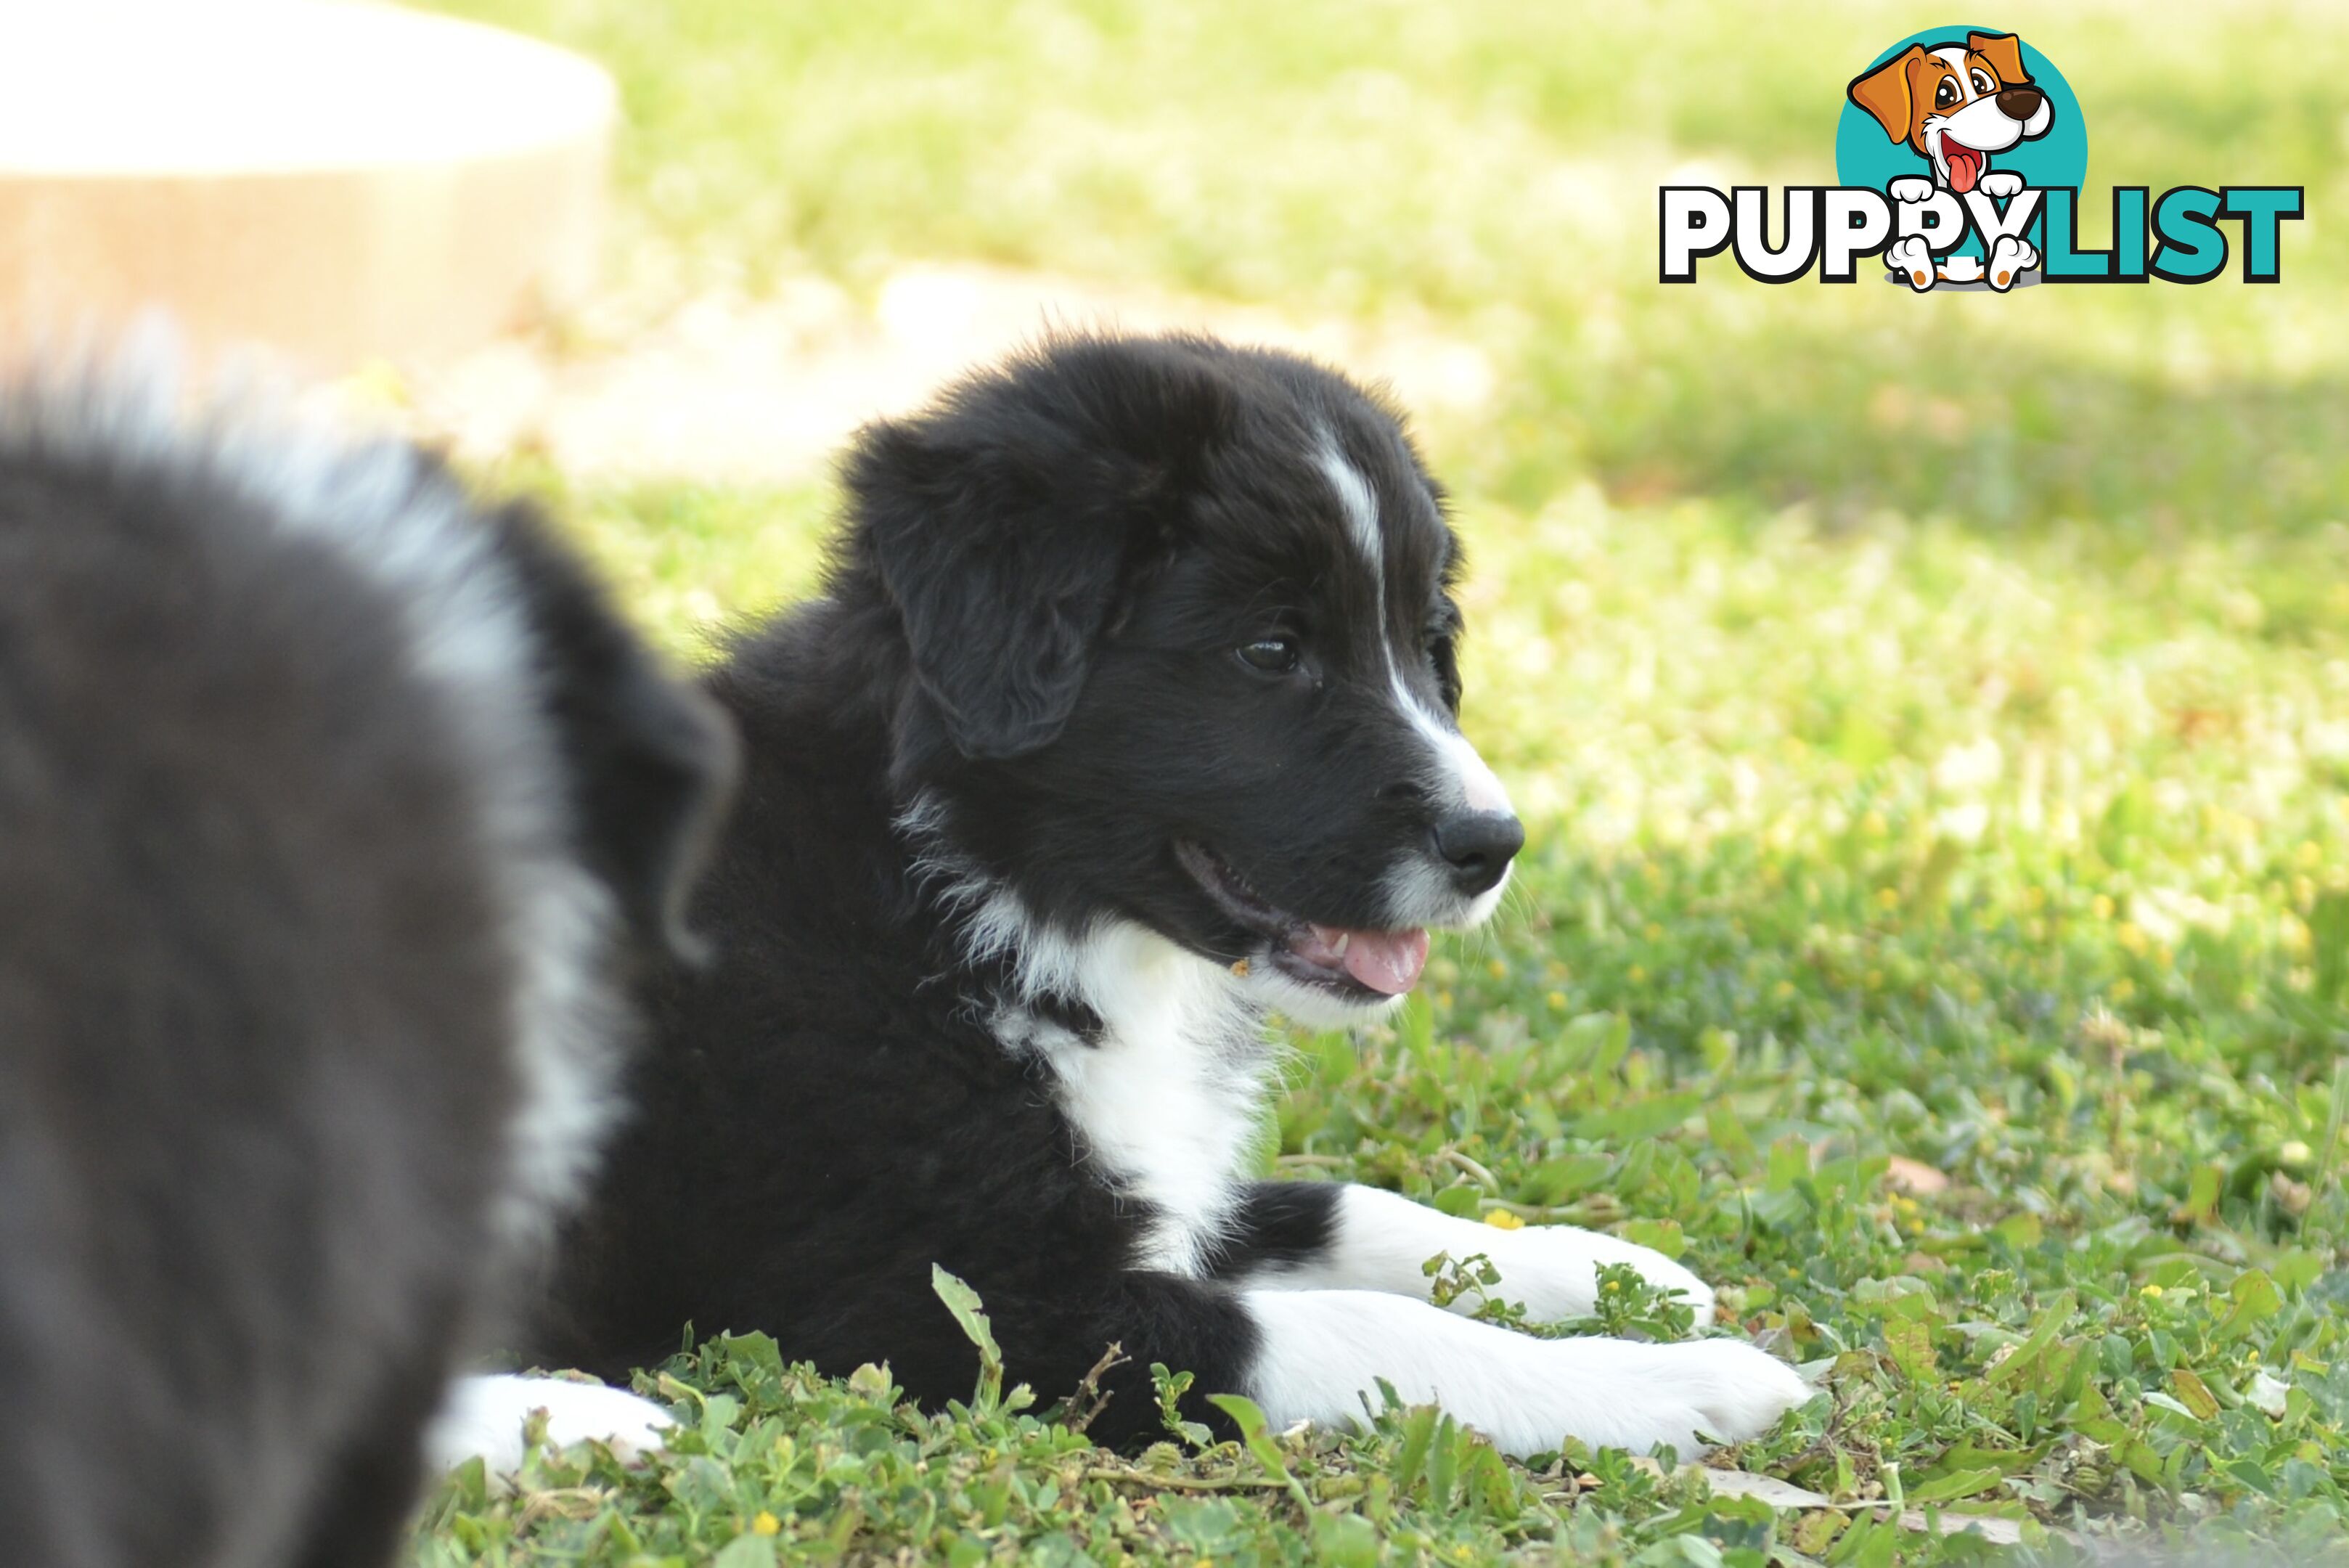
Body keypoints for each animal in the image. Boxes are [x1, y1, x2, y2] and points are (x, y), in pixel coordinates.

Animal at [533, 338, 1804, 1466]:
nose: (1492, 845)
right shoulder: (944, 1302)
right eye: (1271, 651)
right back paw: (580, 1424)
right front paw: (1676, 1384)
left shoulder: (1142, 1192)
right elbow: (1370, 1330)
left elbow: (1341, 1207)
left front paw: (1603, 1269)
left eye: (1428, 642)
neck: (975, 890)